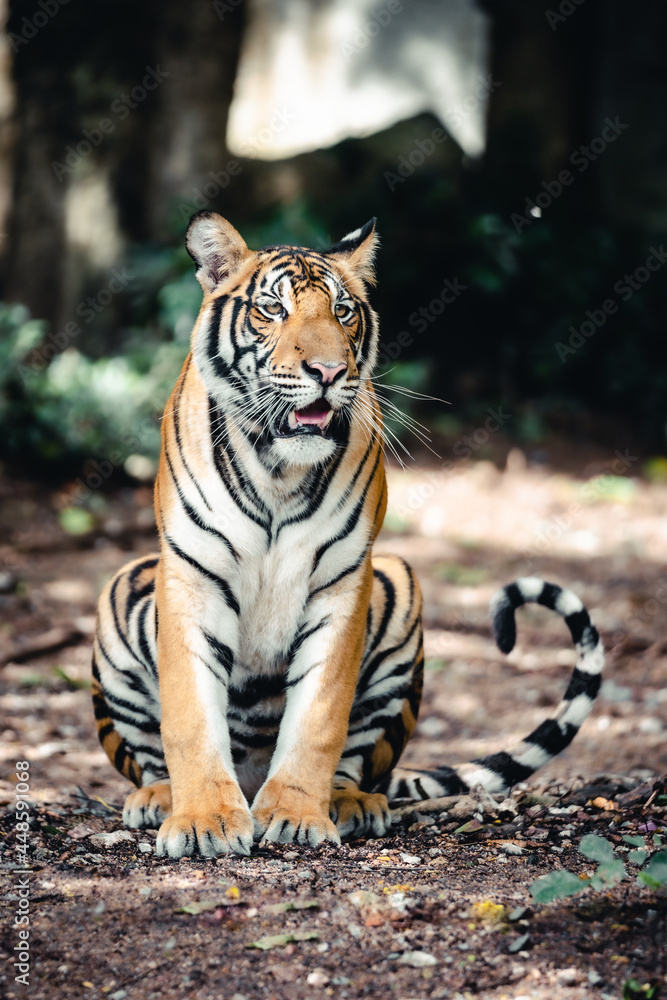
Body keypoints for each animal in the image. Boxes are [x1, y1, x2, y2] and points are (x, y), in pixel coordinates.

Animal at [91, 211, 604, 858]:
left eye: (342, 311)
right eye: (273, 309)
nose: (328, 372)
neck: (278, 468)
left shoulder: (342, 583)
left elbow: (319, 717)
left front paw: (295, 815)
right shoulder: (192, 577)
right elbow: (188, 717)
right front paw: (205, 821)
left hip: (400, 590)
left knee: (361, 763)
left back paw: (350, 803)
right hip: (119, 593)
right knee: (150, 757)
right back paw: (159, 798)